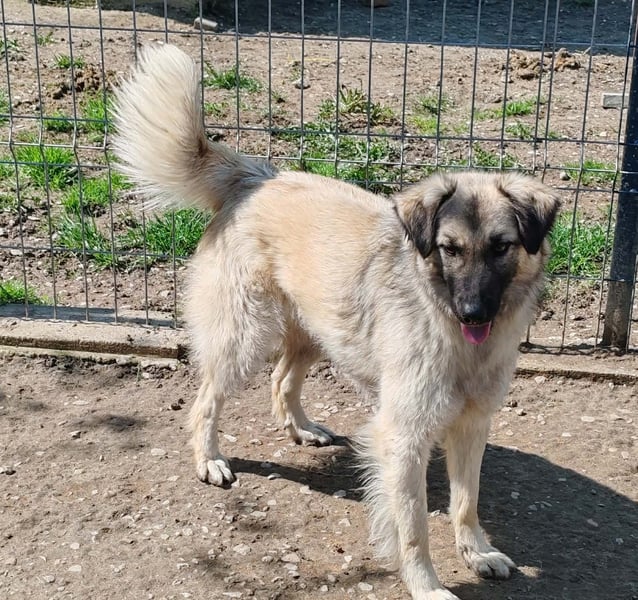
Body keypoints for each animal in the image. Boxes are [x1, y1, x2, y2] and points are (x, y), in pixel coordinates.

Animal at [112, 44, 559, 600]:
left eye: (501, 247)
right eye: (449, 249)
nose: (472, 312)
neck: (456, 338)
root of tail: (256, 175)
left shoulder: (472, 424)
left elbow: (466, 502)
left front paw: (476, 552)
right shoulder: (403, 437)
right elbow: (413, 527)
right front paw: (426, 585)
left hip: (317, 329)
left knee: (282, 380)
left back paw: (303, 429)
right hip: (245, 336)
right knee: (205, 402)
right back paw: (209, 460)